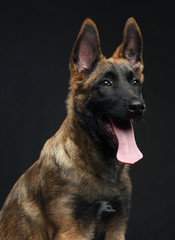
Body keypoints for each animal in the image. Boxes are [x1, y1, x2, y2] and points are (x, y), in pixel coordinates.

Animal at [0, 17, 146, 239]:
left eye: (135, 82)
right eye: (106, 83)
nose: (138, 107)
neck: (103, 168)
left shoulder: (117, 228)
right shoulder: (72, 230)